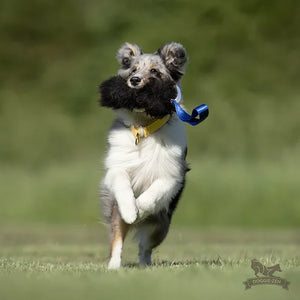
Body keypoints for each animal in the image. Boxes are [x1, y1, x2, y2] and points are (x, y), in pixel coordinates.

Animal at [99, 42, 188, 270]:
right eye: (133, 70)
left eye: (155, 71)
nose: (135, 80)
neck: (144, 128)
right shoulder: (117, 166)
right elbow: (122, 183)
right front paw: (131, 210)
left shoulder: (172, 175)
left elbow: (154, 193)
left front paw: (139, 207)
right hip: (116, 214)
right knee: (117, 240)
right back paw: (113, 266)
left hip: (161, 226)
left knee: (144, 247)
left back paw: (144, 264)